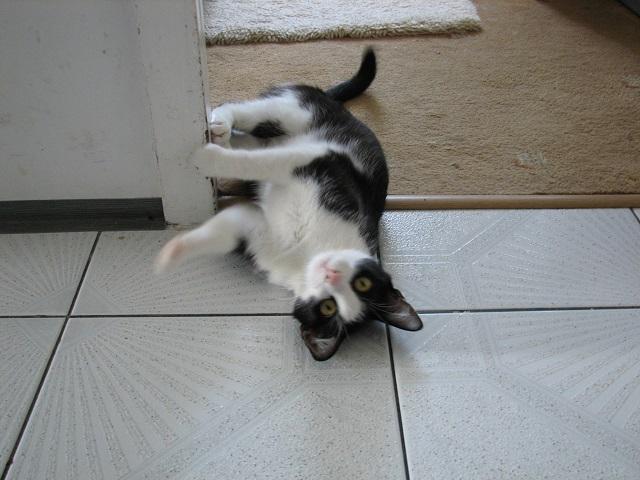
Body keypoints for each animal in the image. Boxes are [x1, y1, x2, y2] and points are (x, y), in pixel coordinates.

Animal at [155, 47, 422, 361]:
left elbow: (226, 228)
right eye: (363, 283)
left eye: (329, 308)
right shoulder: (317, 160)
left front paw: (174, 252)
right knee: (252, 114)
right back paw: (220, 122)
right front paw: (203, 159)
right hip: (296, 112)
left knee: (253, 145)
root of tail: (334, 102)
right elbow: (265, 164)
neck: (306, 252)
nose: (331, 274)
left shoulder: (259, 233)